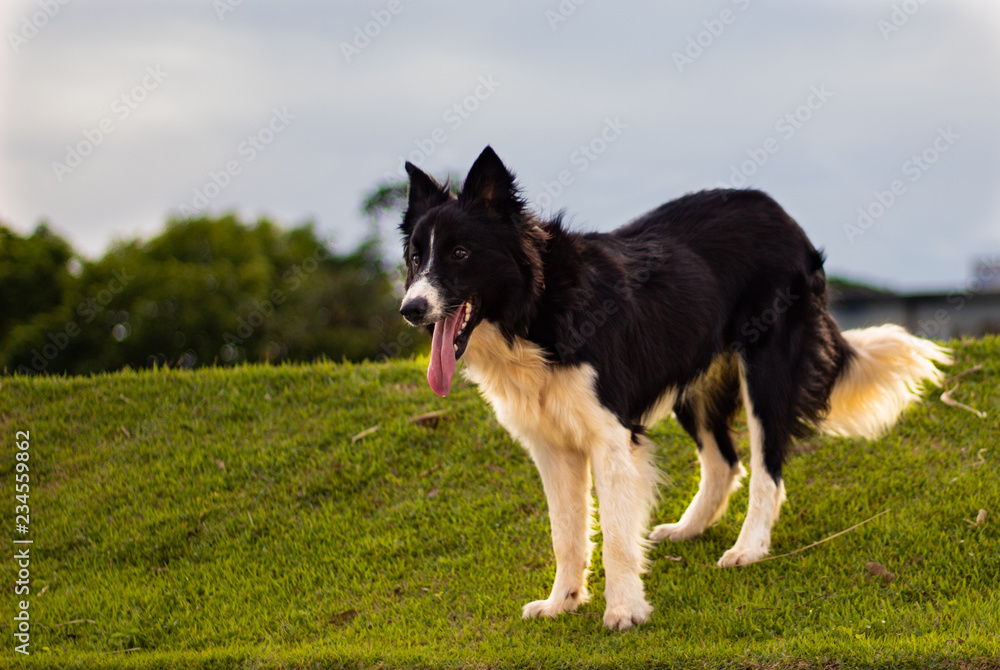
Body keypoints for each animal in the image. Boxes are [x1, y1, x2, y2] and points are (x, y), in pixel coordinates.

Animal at [396, 146, 944, 632]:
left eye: (461, 253)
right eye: (415, 258)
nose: (410, 309)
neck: (537, 308)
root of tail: (780, 214)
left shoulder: (611, 435)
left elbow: (616, 535)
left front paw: (624, 612)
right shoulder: (551, 445)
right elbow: (565, 533)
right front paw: (562, 604)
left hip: (765, 367)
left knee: (767, 467)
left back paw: (748, 549)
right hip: (695, 379)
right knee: (726, 461)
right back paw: (688, 528)